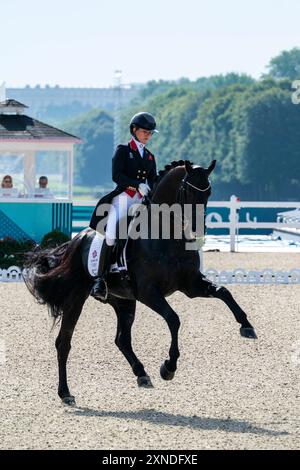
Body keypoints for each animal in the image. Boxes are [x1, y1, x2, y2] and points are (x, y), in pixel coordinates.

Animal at [24, 160, 258, 406]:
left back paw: (142, 374)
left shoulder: (191, 285)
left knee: (122, 340)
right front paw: (168, 367)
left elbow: (223, 291)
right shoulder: (148, 292)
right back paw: (66, 393)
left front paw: (246, 326)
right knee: (64, 343)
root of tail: (75, 240)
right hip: (75, 300)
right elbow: (174, 319)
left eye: (209, 192)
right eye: (189, 190)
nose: (199, 229)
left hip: (123, 301)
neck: (166, 234)